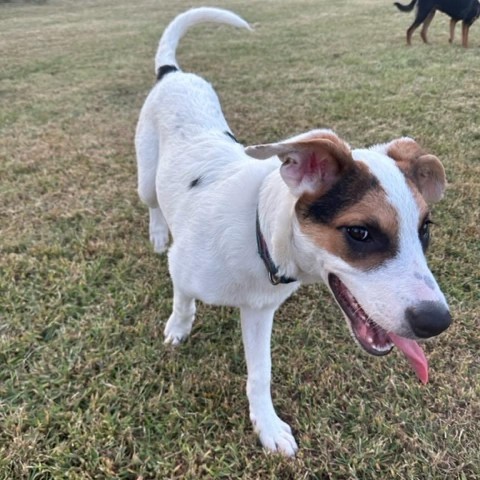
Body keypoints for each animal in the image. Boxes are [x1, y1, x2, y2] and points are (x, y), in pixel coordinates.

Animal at [134, 8, 450, 458]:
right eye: (360, 232)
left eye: (425, 229)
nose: (437, 321)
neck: (258, 234)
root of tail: (173, 74)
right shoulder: (184, 271)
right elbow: (182, 301)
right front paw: (178, 328)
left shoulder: (259, 310)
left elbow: (260, 373)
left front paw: (266, 425)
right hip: (146, 174)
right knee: (152, 203)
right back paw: (159, 233)